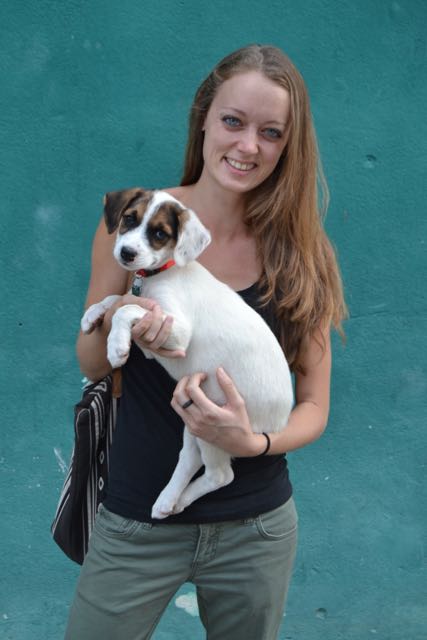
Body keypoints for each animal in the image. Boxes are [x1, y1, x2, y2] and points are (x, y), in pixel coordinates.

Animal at [81, 188, 294, 519]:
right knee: (190, 458)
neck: (159, 275)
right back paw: (169, 500)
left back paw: (177, 498)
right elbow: (120, 299)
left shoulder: (178, 333)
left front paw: (116, 346)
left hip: (218, 421)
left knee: (221, 475)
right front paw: (93, 314)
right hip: (196, 416)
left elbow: (128, 309)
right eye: (129, 219)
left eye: (159, 233)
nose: (127, 253)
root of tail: (280, 421)